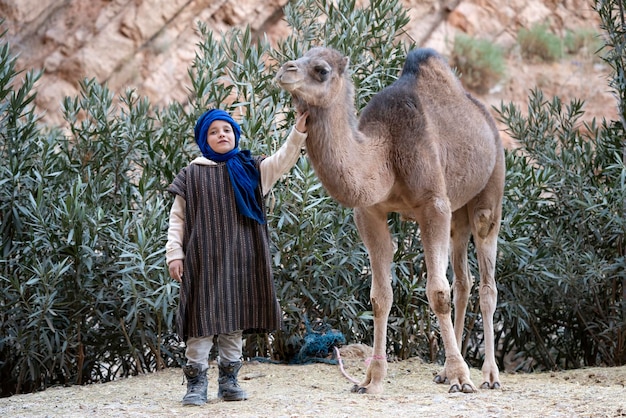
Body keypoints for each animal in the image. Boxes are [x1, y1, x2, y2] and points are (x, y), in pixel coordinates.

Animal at [276, 47, 504, 394]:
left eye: (321, 70)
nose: (284, 70)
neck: (386, 155)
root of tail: (484, 114)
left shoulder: (433, 204)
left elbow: (437, 293)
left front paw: (462, 378)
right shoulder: (369, 211)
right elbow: (379, 297)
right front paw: (371, 380)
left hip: (489, 193)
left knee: (487, 284)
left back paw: (489, 375)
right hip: (458, 212)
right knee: (464, 281)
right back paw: (444, 372)